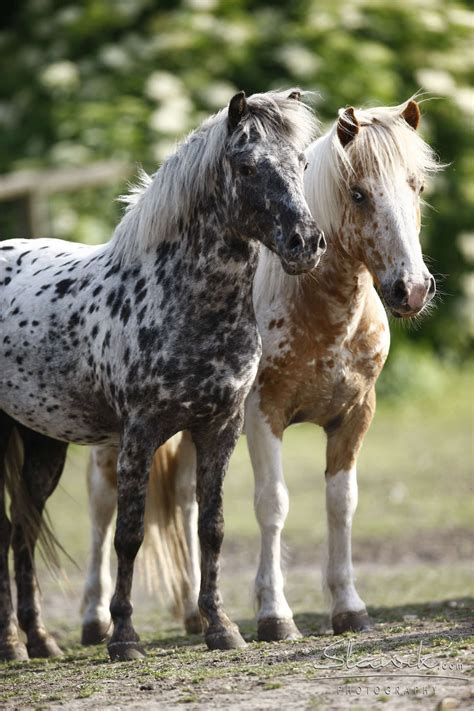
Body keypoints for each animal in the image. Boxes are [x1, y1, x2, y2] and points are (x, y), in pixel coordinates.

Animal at [0, 89, 326, 660]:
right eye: (246, 167)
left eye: (303, 164)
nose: (304, 244)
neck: (177, 300)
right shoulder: (138, 435)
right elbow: (127, 535)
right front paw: (124, 638)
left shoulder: (220, 429)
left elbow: (211, 528)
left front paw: (222, 628)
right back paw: (12, 645)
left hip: (42, 443)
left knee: (23, 527)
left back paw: (39, 641)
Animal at [79, 98, 438, 644]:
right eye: (358, 193)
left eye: (417, 186)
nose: (412, 289)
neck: (323, 314)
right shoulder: (263, 414)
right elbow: (273, 504)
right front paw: (274, 615)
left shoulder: (355, 415)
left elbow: (342, 503)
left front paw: (349, 607)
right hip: (114, 439)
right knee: (103, 508)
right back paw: (96, 619)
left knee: (185, 499)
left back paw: (195, 614)